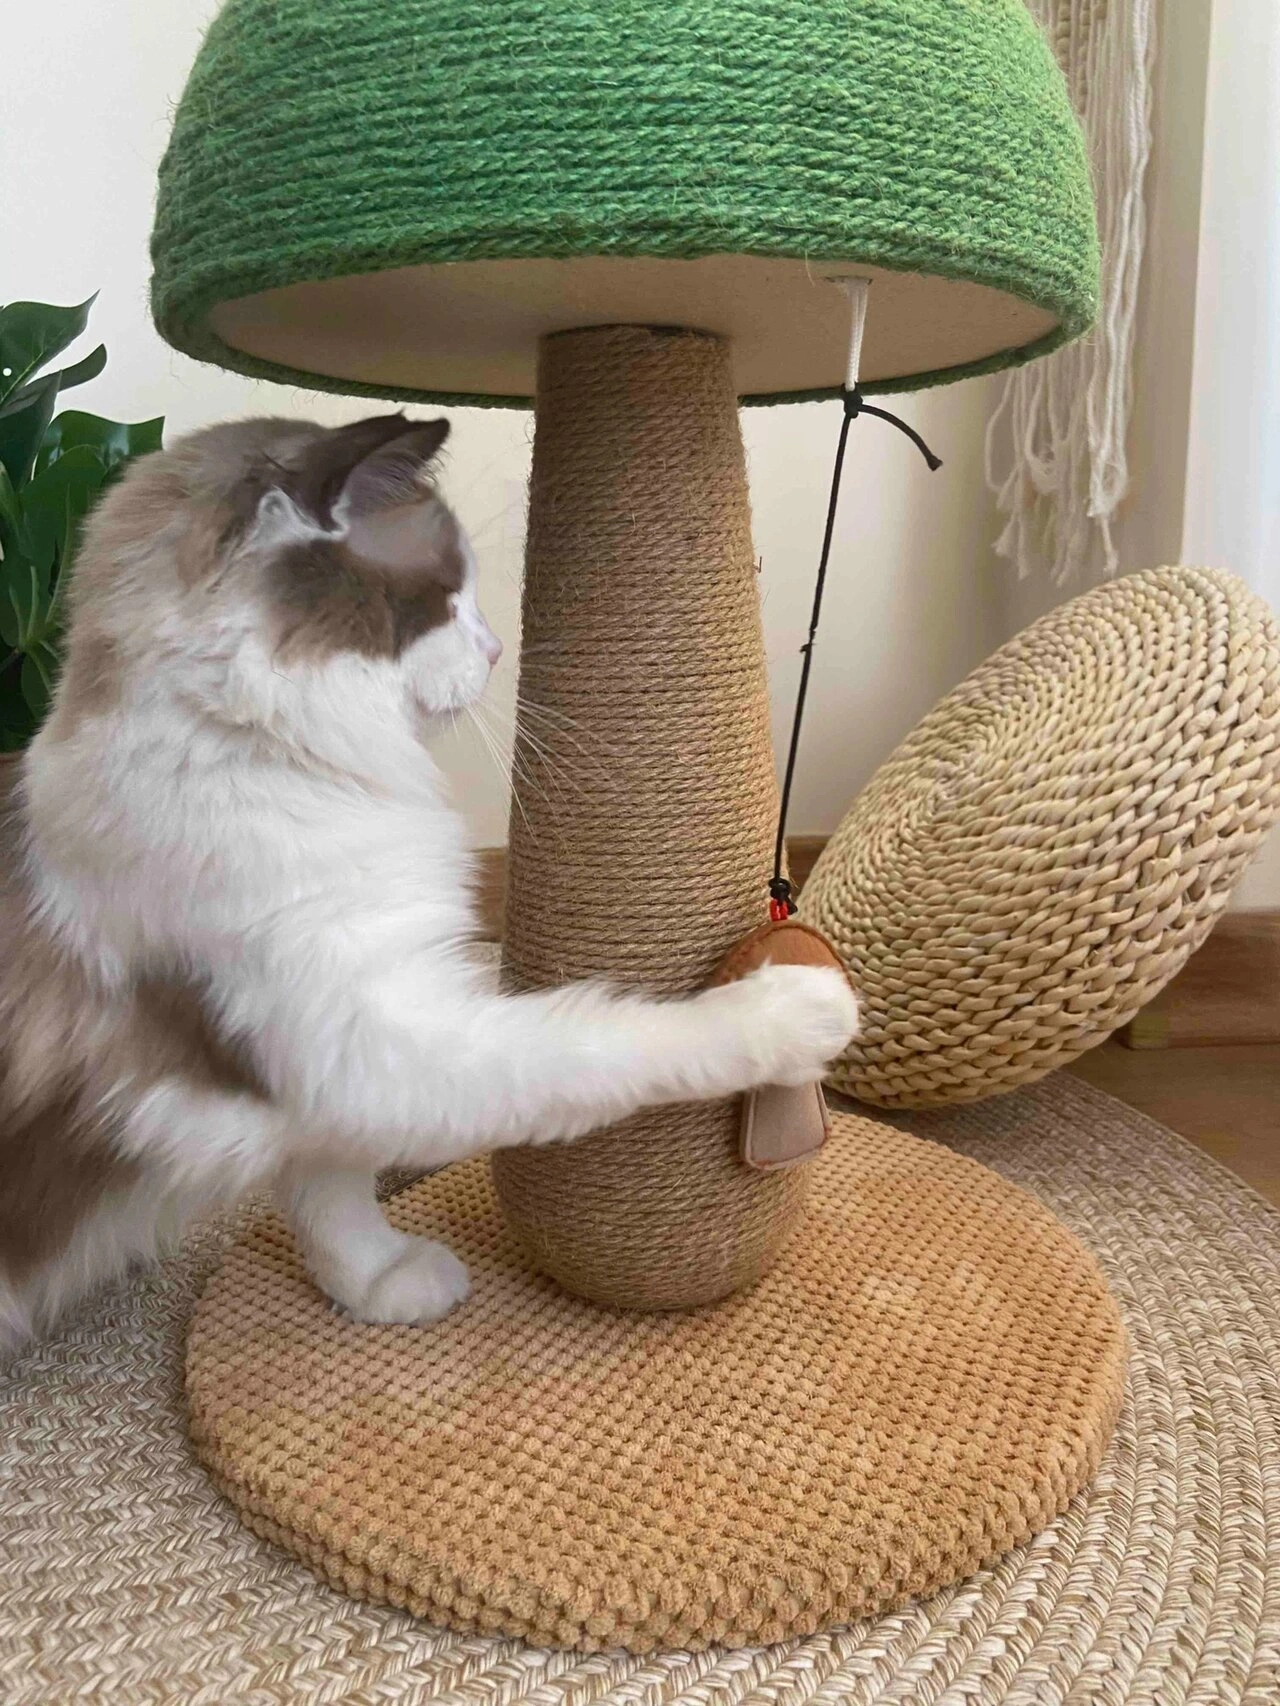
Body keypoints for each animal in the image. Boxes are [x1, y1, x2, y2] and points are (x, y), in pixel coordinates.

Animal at [2, 406, 863, 1351]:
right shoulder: (374, 1042)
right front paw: (795, 1008)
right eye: (449, 595)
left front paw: (377, 1285)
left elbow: (334, 1198)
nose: (493, 649)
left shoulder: (333, 1069)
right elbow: (618, 1040)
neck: (263, 752)